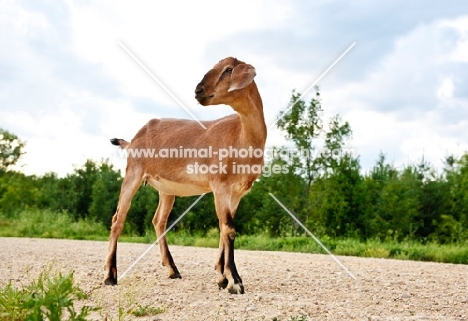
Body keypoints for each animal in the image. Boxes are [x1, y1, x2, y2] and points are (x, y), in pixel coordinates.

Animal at [105, 57, 266, 292]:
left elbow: (224, 228)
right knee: (118, 218)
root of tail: (133, 139)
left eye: (228, 69)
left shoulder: (236, 193)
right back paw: (110, 276)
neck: (242, 137)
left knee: (158, 220)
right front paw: (235, 282)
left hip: (166, 189)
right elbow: (228, 229)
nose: (198, 91)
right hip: (133, 172)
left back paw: (173, 270)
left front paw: (222, 278)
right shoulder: (220, 186)